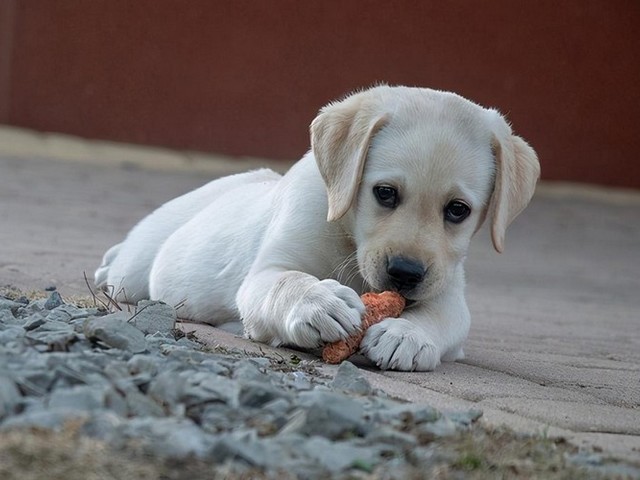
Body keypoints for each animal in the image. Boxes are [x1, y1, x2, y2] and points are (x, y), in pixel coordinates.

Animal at [95, 85, 540, 372]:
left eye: (458, 210)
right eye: (385, 193)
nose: (405, 273)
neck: (348, 238)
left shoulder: (448, 290)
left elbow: (442, 317)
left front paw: (408, 335)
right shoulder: (266, 272)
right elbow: (286, 281)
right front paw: (318, 302)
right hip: (136, 268)